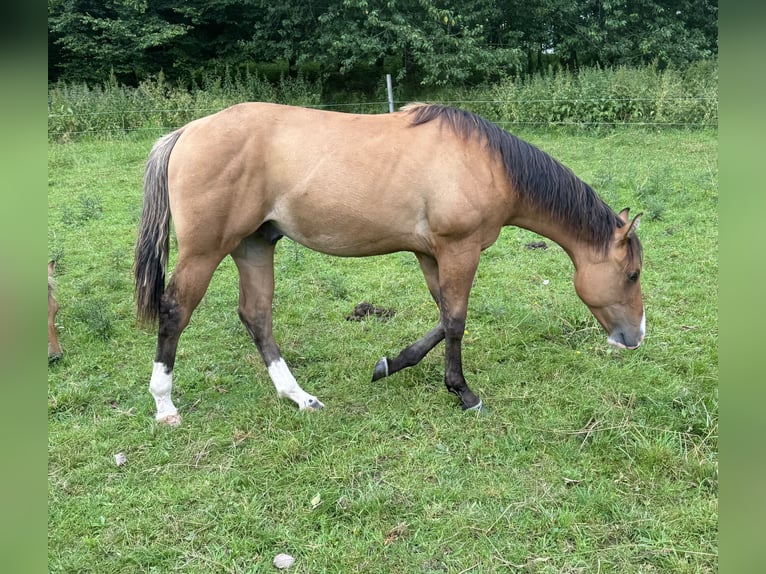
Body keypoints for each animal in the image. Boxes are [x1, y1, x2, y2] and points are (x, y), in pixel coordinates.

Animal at [135, 102, 644, 428]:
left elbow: (443, 317)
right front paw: (464, 394)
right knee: (175, 310)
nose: (635, 338)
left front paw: (390, 364)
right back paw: (164, 405)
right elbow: (456, 320)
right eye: (633, 274)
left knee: (256, 316)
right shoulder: (459, 250)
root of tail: (187, 132)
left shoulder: (430, 253)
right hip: (206, 250)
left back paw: (299, 397)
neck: (487, 163)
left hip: (254, 245)